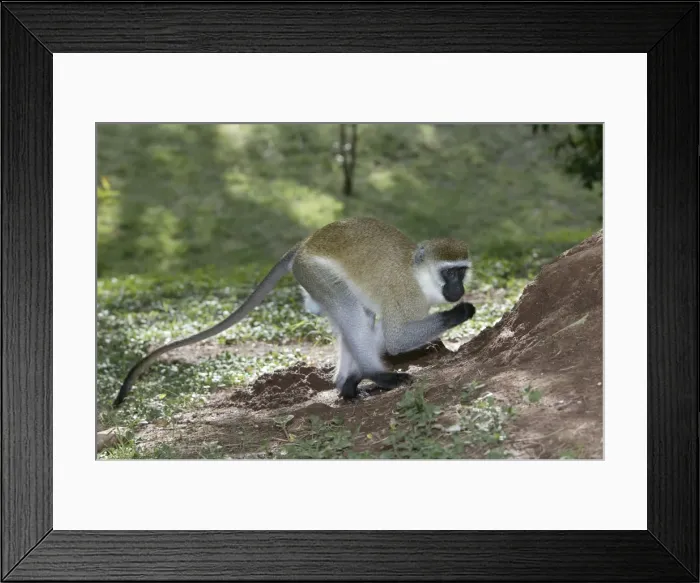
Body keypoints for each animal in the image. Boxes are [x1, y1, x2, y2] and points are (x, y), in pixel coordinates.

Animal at [112, 216, 475, 407]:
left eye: (462, 271)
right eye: (449, 273)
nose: (458, 289)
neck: (419, 275)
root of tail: (304, 245)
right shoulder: (406, 295)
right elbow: (397, 340)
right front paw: (463, 312)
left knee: (355, 317)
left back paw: (347, 383)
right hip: (314, 273)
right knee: (349, 310)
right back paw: (376, 376)